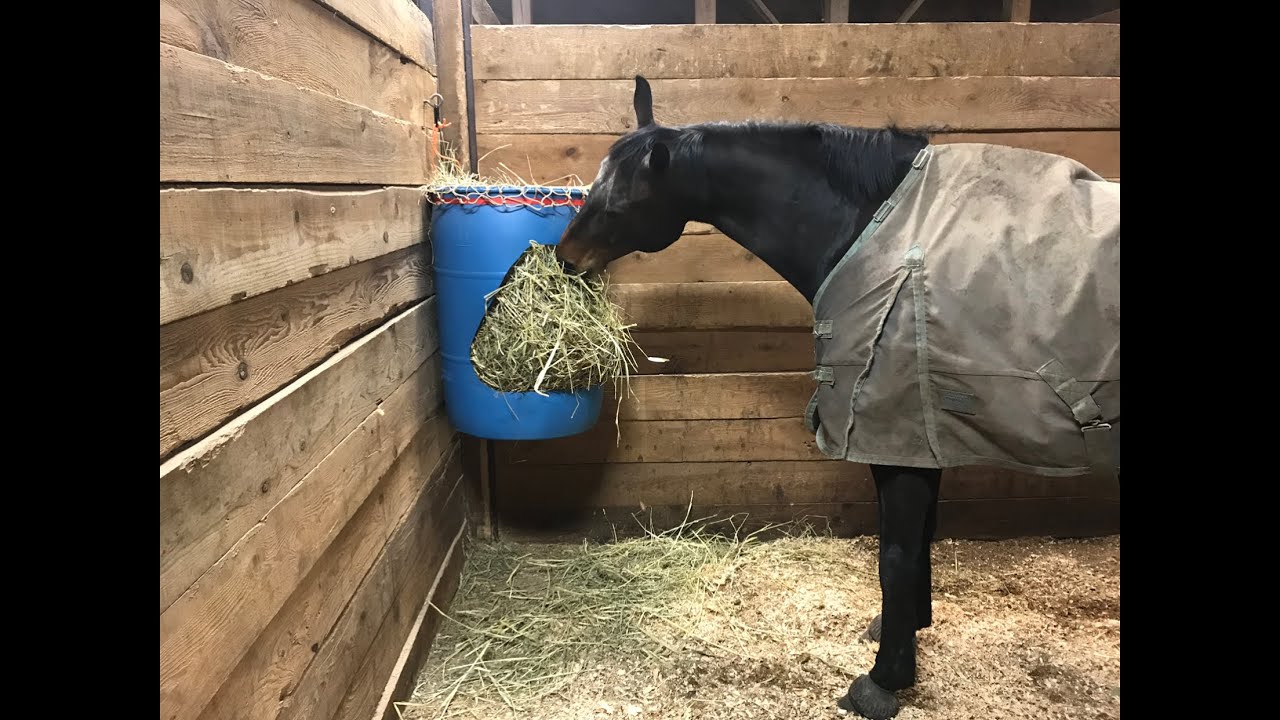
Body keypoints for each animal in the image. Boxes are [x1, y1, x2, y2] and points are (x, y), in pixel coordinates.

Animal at [555, 75, 1116, 712]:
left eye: (620, 203)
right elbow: (917, 541)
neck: (878, 228)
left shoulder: (896, 436)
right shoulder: (919, 437)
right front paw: (905, 630)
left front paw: (883, 680)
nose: (565, 259)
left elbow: (896, 555)